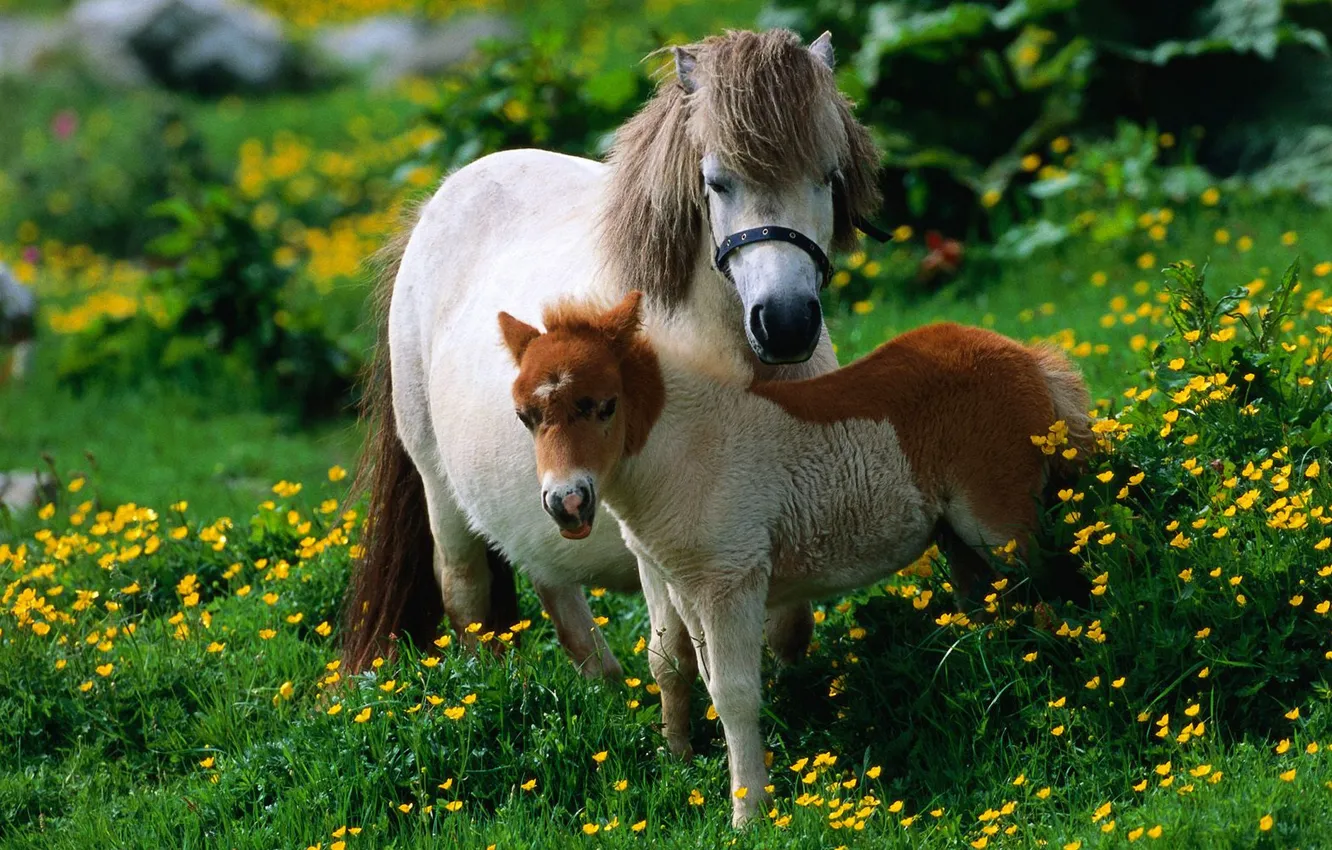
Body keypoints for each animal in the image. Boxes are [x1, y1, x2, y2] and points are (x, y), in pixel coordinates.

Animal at [346, 28, 884, 679]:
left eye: (828, 177)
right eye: (717, 182)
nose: (784, 323)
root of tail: (435, 206)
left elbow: (789, 630)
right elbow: (677, 653)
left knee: (552, 582)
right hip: (440, 490)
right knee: (466, 593)